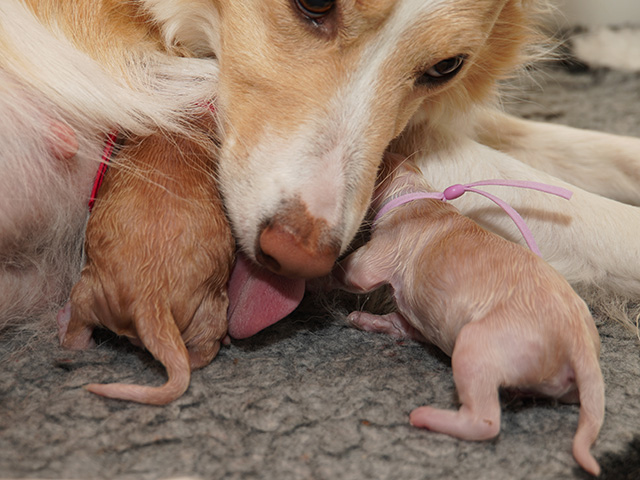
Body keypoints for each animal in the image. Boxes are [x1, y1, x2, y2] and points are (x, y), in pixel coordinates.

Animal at [56, 114, 234, 405]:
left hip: (89, 292)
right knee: (202, 351)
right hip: (208, 311)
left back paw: (65, 325)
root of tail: (151, 299)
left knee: (77, 339)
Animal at [332, 155, 604, 476]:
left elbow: (353, 272)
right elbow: (404, 323)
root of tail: (578, 342)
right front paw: (370, 320)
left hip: (477, 345)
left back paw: (427, 416)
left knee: (484, 421)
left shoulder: (385, 247)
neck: (416, 190)